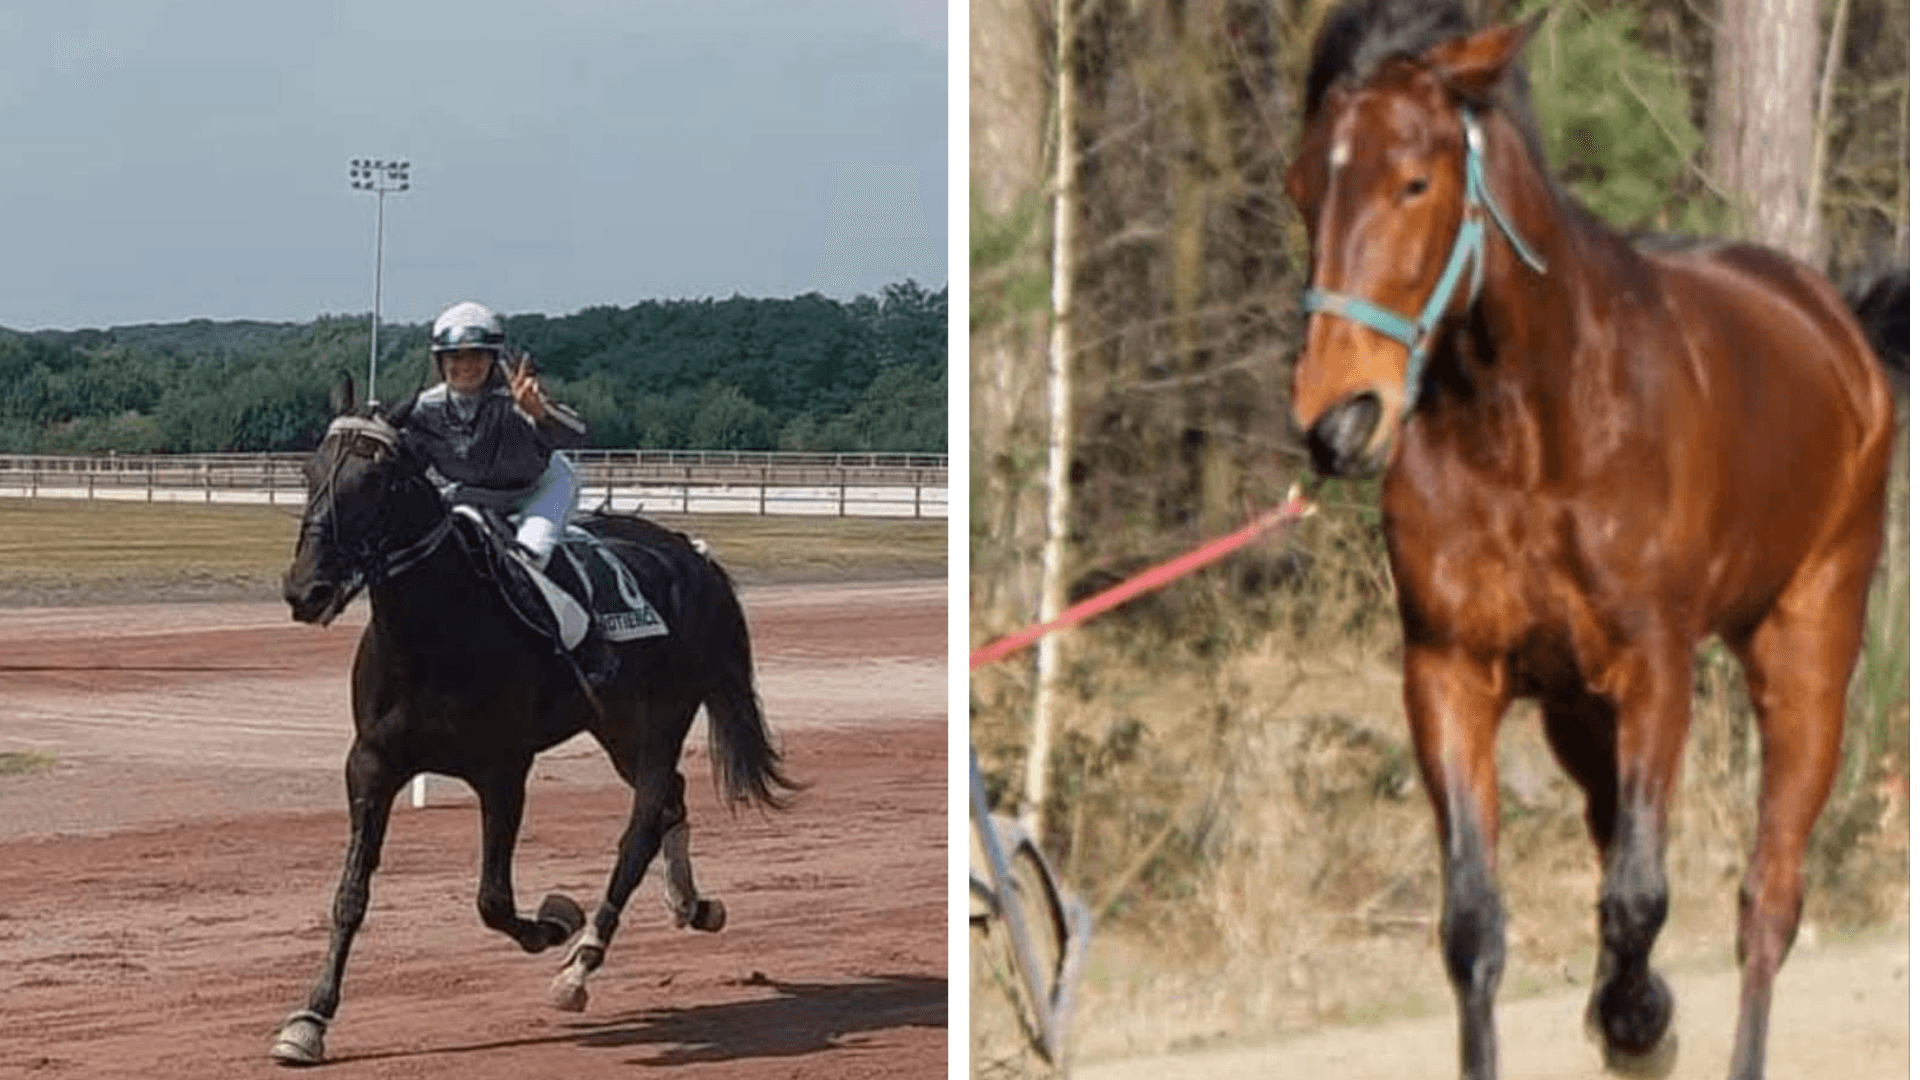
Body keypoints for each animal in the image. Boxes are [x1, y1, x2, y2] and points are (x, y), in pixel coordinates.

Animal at [269, 387, 795, 1065]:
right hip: (617, 726)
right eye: (310, 473)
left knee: (642, 824)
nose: (307, 588)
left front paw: (557, 919)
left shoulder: (502, 771)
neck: (437, 631)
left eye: (379, 480)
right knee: (671, 801)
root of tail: (690, 554)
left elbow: (493, 900)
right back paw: (692, 904)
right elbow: (350, 896)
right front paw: (311, 1017)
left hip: (662, 719)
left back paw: (582, 961)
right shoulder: (372, 764)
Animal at [1282, 3, 1902, 1078]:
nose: (1339, 420)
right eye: (1301, 187)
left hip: (1806, 653)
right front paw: (1627, 1019)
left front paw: (1639, 1022)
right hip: (1578, 713)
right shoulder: (1449, 672)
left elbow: (1639, 896)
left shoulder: (1655, 668)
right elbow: (1475, 927)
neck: (1532, 431)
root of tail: (1840, 330)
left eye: (1415, 181)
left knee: (1767, 901)